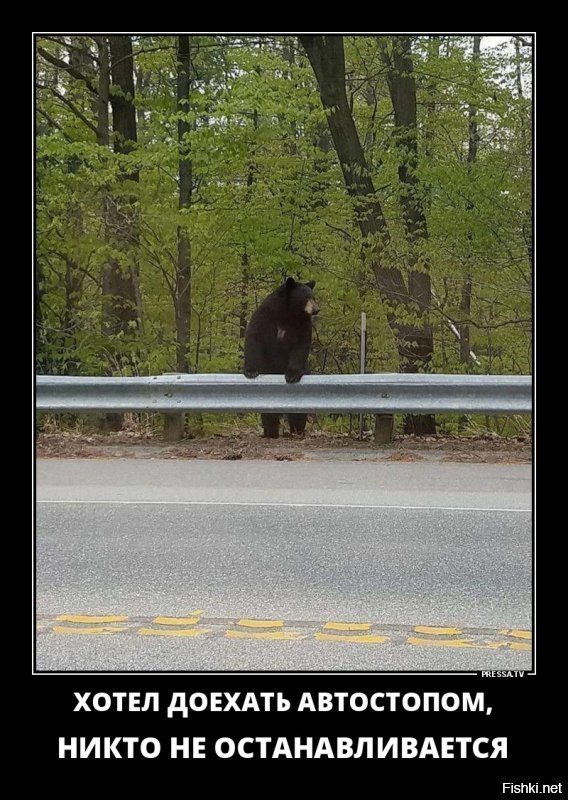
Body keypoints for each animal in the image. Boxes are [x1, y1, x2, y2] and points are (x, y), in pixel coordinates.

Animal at [244, 276, 320, 438]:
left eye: (313, 296)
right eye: (306, 297)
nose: (316, 309)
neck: (287, 313)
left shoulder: (302, 323)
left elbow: (300, 345)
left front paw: (292, 375)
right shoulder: (265, 315)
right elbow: (254, 337)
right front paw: (251, 371)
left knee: (298, 414)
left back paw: (296, 431)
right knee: (268, 413)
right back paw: (270, 432)